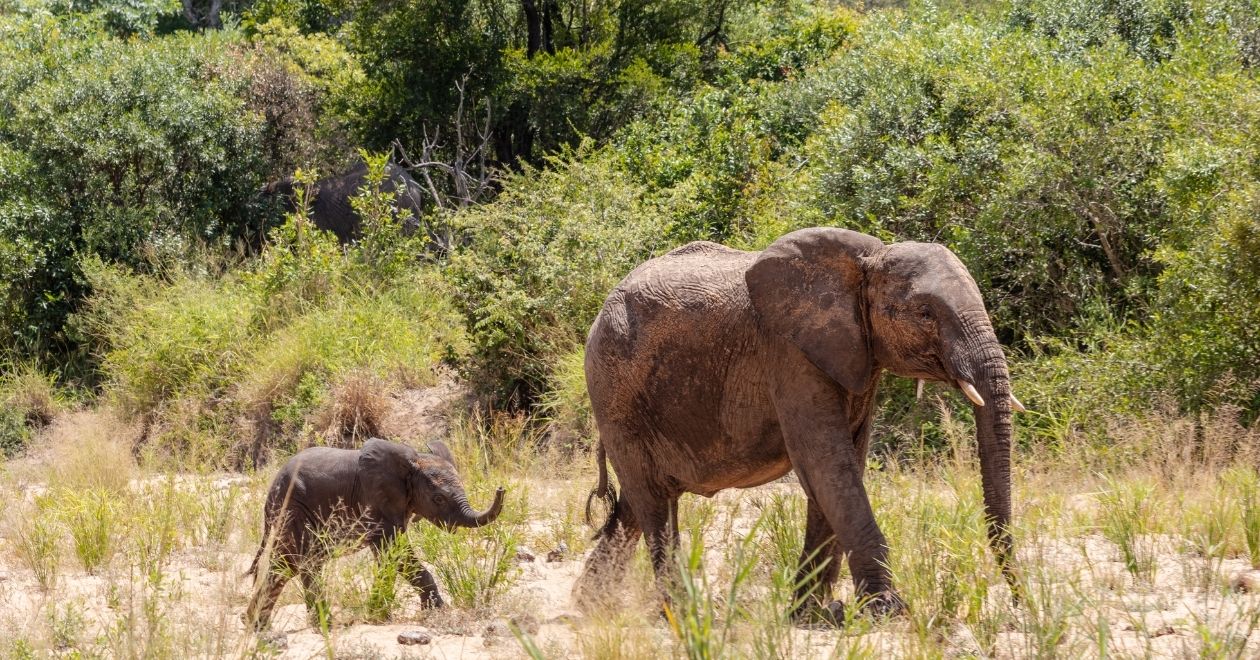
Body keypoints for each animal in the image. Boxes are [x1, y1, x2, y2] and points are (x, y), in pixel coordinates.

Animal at [243, 438, 506, 630]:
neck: (413, 462)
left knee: (289, 565)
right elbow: (398, 555)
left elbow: (388, 558)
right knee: (297, 562)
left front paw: (380, 615)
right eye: (438, 498)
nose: (501, 488)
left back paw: (259, 625)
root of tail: (271, 488)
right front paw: (437, 613)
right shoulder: (378, 503)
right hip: (293, 508)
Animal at [573, 227, 1024, 620]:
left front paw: (812, 614)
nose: (1018, 600)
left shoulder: (854, 356)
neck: (866, 261)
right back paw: (681, 615)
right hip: (613, 388)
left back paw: (590, 607)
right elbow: (827, 465)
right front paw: (887, 611)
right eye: (925, 313)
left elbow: (842, 468)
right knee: (652, 503)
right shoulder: (789, 354)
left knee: (638, 502)